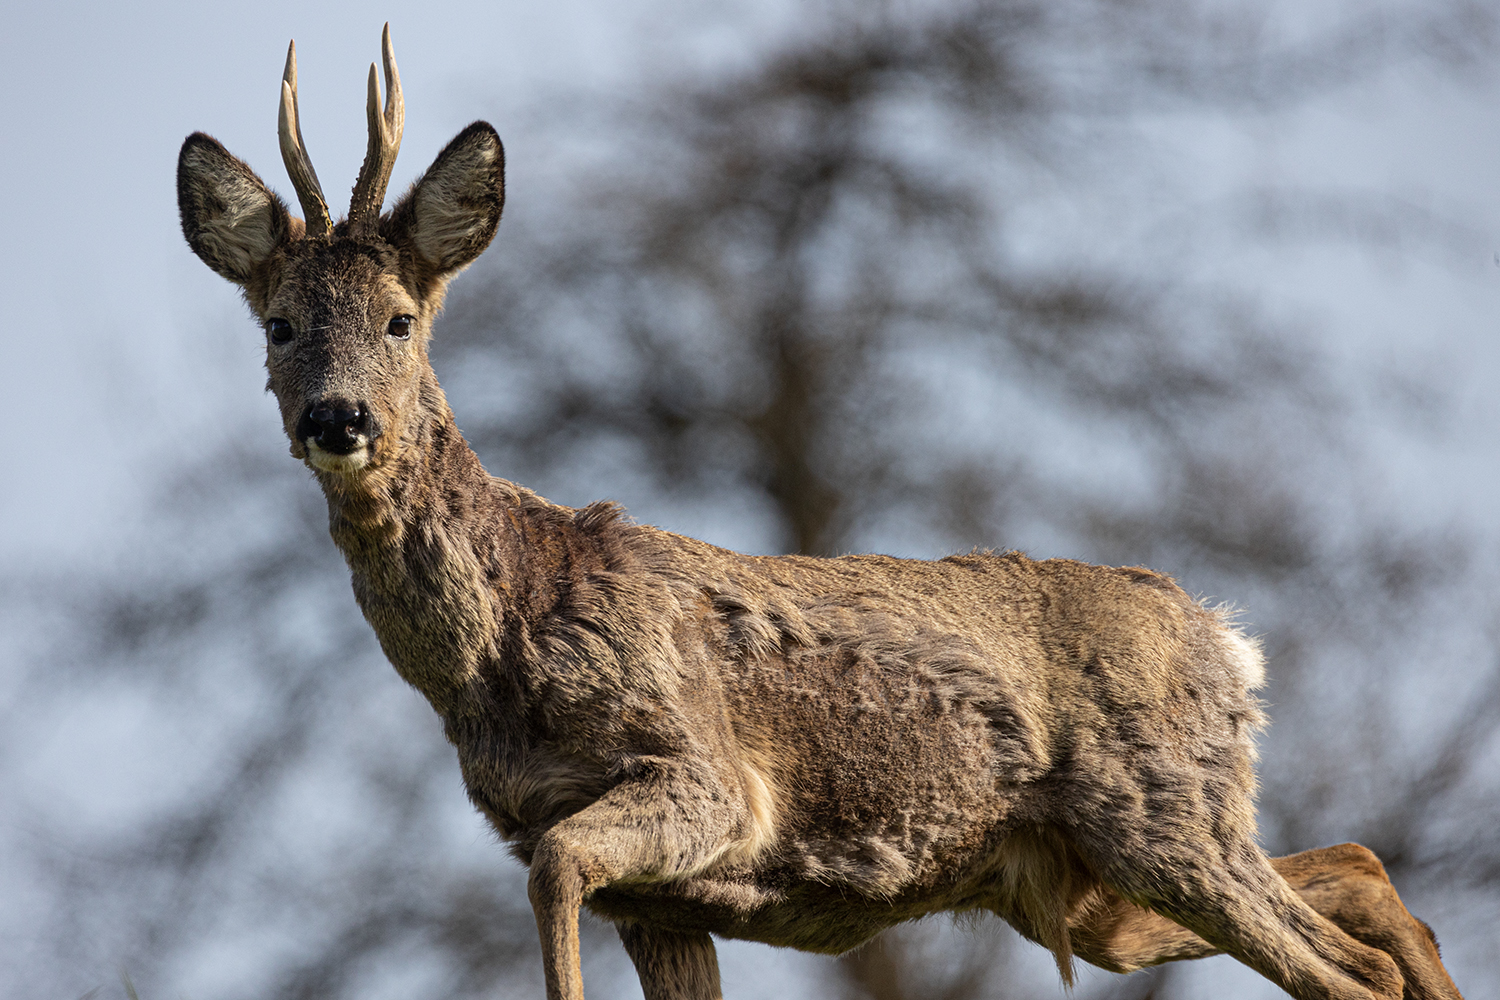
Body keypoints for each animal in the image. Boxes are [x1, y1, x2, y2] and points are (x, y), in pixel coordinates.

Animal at [175, 25, 1464, 1000]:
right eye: (279, 324)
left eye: (401, 319)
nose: (337, 417)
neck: (505, 647)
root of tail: (1225, 638)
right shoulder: (658, 897)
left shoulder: (702, 777)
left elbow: (553, 871)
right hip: (1084, 881)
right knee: (1362, 877)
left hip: (1162, 817)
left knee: (1347, 973)